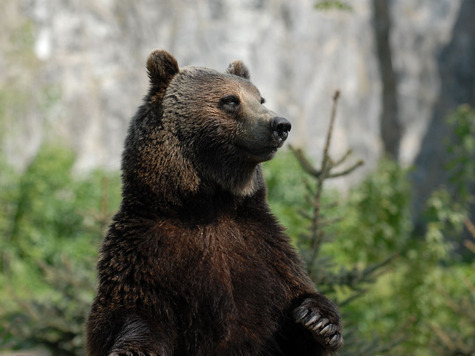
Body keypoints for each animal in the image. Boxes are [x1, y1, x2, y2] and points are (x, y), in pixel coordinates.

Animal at [85, 50, 344, 356]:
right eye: (231, 100)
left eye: (260, 98)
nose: (281, 125)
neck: (209, 205)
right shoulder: (145, 252)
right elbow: (134, 310)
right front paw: (133, 349)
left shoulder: (266, 250)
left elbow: (295, 302)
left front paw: (319, 321)